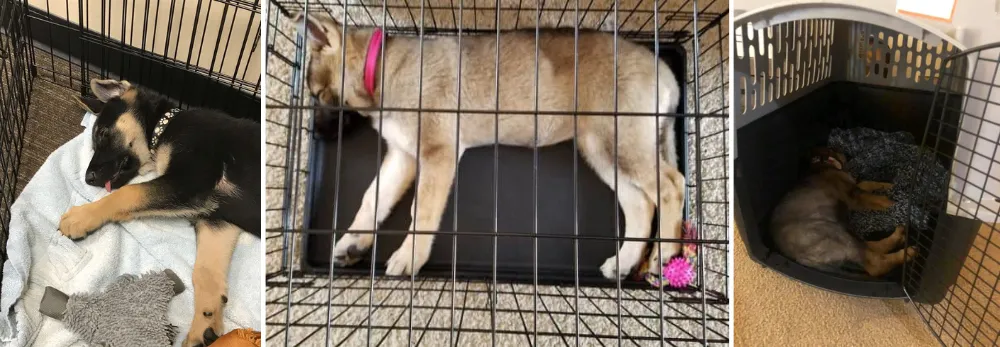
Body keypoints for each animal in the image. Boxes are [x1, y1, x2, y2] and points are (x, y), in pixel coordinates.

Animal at [57, 79, 262, 347]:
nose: (88, 179)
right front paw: (205, 325)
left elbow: (128, 193)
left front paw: (81, 216)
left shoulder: (191, 181)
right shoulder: (216, 219)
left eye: (102, 133)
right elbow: (204, 272)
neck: (164, 127)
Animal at [296, 13, 688, 282]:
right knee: (641, 203)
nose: (315, 134)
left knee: (671, 185)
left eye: (318, 95)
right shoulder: (404, 155)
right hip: (600, 148)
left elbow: (421, 212)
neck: (380, 68)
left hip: (619, 140)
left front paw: (410, 256)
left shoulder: (438, 154)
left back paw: (664, 254)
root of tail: (663, 69)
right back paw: (625, 260)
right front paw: (353, 242)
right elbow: (372, 198)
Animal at [772, 148, 916, 278]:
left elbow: (867, 183)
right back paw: (907, 252)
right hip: (833, 233)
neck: (822, 164)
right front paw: (893, 203)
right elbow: (875, 198)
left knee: (869, 246)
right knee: (875, 263)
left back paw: (899, 237)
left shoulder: (854, 188)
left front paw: (887, 186)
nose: (849, 154)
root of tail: (800, 259)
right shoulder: (855, 197)